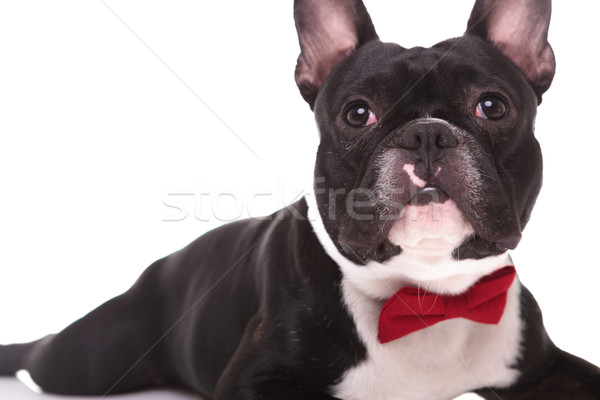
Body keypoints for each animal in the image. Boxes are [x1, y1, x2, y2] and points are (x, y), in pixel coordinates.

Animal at [1, 0, 600, 398]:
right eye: (358, 113)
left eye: (492, 106)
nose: (427, 134)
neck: (425, 296)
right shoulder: (258, 381)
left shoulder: (546, 366)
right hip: (93, 357)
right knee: (45, 354)